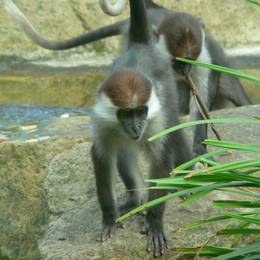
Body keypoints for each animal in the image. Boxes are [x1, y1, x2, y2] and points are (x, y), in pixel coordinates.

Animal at [90, 0, 192, 256]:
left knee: (175, 132)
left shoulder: (155, 118)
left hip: (169, 95)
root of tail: (140, 45)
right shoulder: (102, 122)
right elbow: (102, 156)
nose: (136, 126)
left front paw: (154, 222)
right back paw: (135, 200)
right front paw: (109, 217)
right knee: (124, 151)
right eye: (127, 113)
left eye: (140, 111)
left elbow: (162, 157)